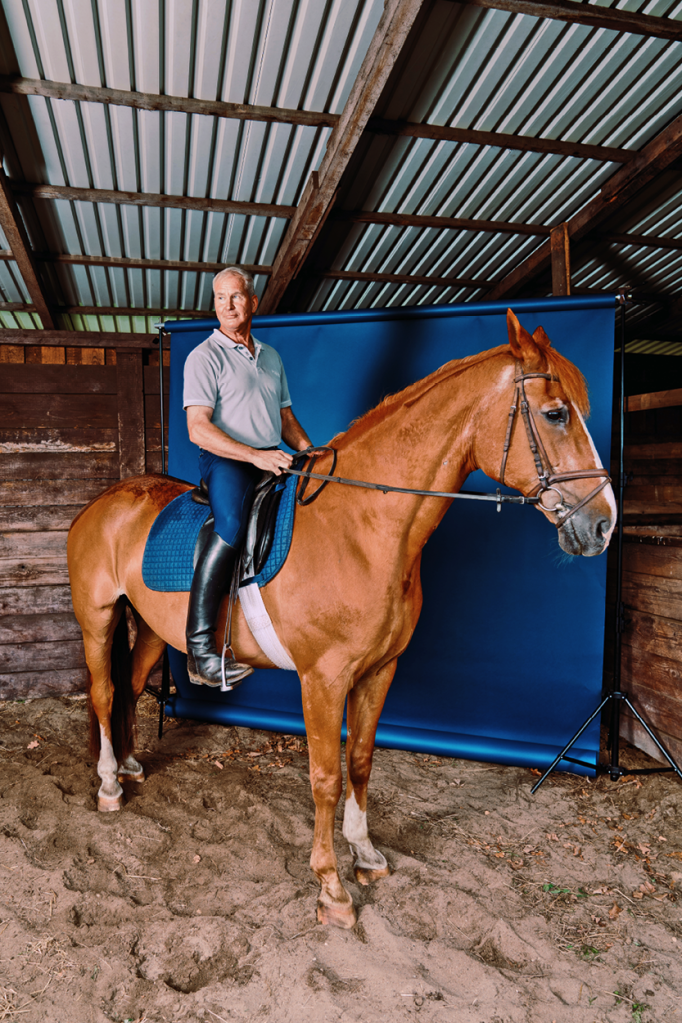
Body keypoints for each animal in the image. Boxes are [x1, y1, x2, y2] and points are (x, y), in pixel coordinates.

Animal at [69, 308, 617, 928]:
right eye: (555, 414)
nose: (603, 524)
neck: (363, 526)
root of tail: (104, 501)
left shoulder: (380, 669)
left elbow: (360, 761)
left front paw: (365, 854)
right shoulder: (323, 679)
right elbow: (326, 778)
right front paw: (331, 887)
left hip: (152, 631)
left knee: (130, 686)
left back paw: (130, 765)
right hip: (97, 618)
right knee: (104, 693)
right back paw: (109, 785)